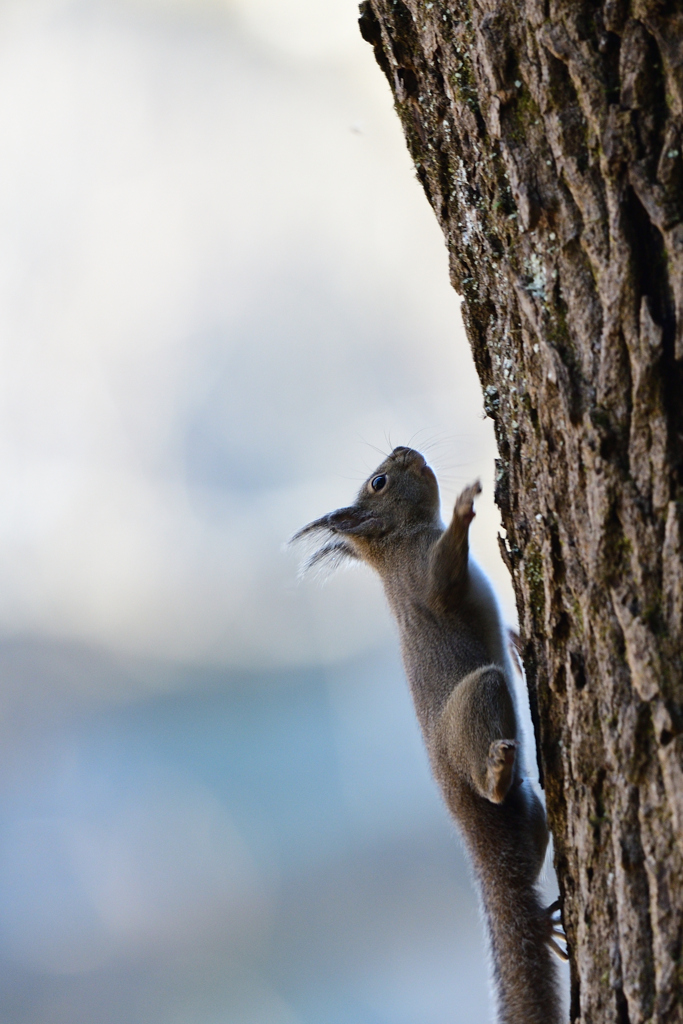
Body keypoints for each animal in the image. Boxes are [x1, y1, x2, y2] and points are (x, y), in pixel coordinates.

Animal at [294, 448, 565, 1024]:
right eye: (378, 482)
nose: (407, 451)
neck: (400, 545)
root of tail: (476, 843)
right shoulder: (425, 575)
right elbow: (443, 578)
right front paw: (465, 508)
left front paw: (517, 640)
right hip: (480, 698)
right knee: (490, 773)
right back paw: (495, 770)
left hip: (528, 813)